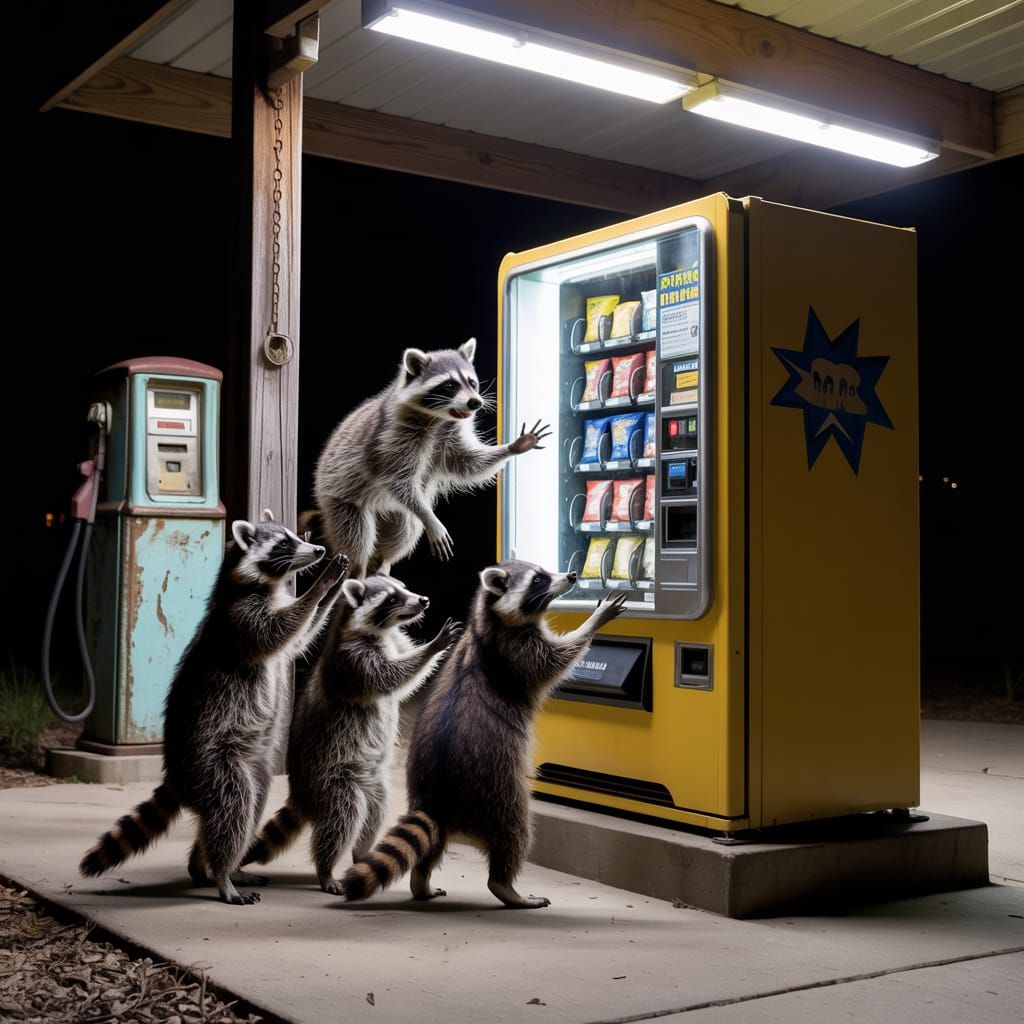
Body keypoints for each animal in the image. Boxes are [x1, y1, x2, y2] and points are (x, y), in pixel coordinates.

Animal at [79, 512, 349, 906]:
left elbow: (299, 638)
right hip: (214, 759)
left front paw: (334, 588)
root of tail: (178, 775)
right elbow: (281, 629)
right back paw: (222, 873)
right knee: (234, 805)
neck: (260, 583)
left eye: (297, 536)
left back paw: (210, 864)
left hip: (248, 763)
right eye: (284, 544)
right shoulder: (241, 619)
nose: (318, 551)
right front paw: (321, 585)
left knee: (248, 803)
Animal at [244, 574, 460, 894]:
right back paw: (325, 868)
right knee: (342, 817)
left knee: (376, 810)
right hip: (332, 778)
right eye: (392, 598)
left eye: (404, 587)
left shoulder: (392, 642)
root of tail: (302, 795)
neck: (380, 630)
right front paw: (433, 647)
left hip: (371, 781)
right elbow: (390, 677)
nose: (423, 601)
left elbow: (405, 684)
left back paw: (361, 853)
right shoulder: (354, 661)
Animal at [313, 338, 550, 577]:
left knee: (404, 532)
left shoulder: (450, 437)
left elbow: (468, 463)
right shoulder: (392, 439)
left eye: (472, 382)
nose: (476, 403)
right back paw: (355, 572)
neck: (439, 418)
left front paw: (514, 446)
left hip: (395, 513)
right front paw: (430, 518)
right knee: (357, 541)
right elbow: (398, 479)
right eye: (449, 385)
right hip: (341, 500)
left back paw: (382, 564)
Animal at [340, 560, 626, 908]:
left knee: (430, 850)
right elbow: (556, 660)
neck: (483, 621)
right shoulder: (516, 651)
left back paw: (421, 882)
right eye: (539, 580)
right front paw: (593, 622)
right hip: (497, 793)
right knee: (514, 835)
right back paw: (505, 886)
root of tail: (437, 800)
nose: (571, 576)